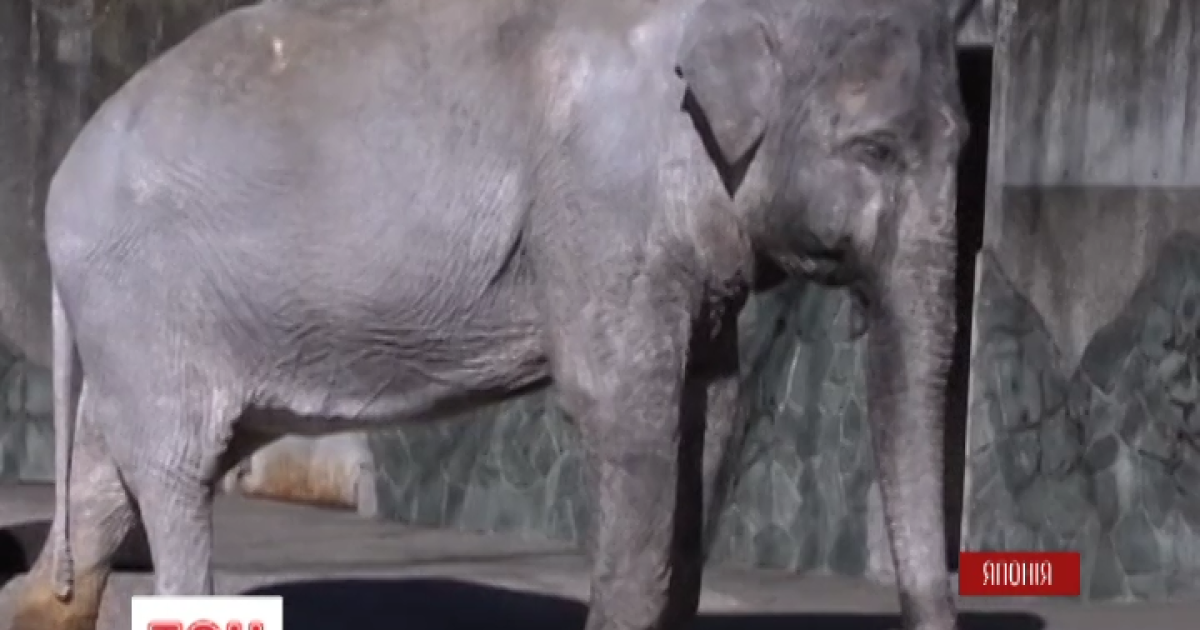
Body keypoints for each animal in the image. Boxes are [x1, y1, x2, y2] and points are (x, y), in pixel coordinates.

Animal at [12, 0, 968, 629]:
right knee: (175, 474)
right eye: (875, 150)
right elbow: (629, 417)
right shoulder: (598, 213)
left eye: (959, 144)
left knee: (103, 490)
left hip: (134, 322)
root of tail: (55, 188)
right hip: (144, 302)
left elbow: (714, 417)